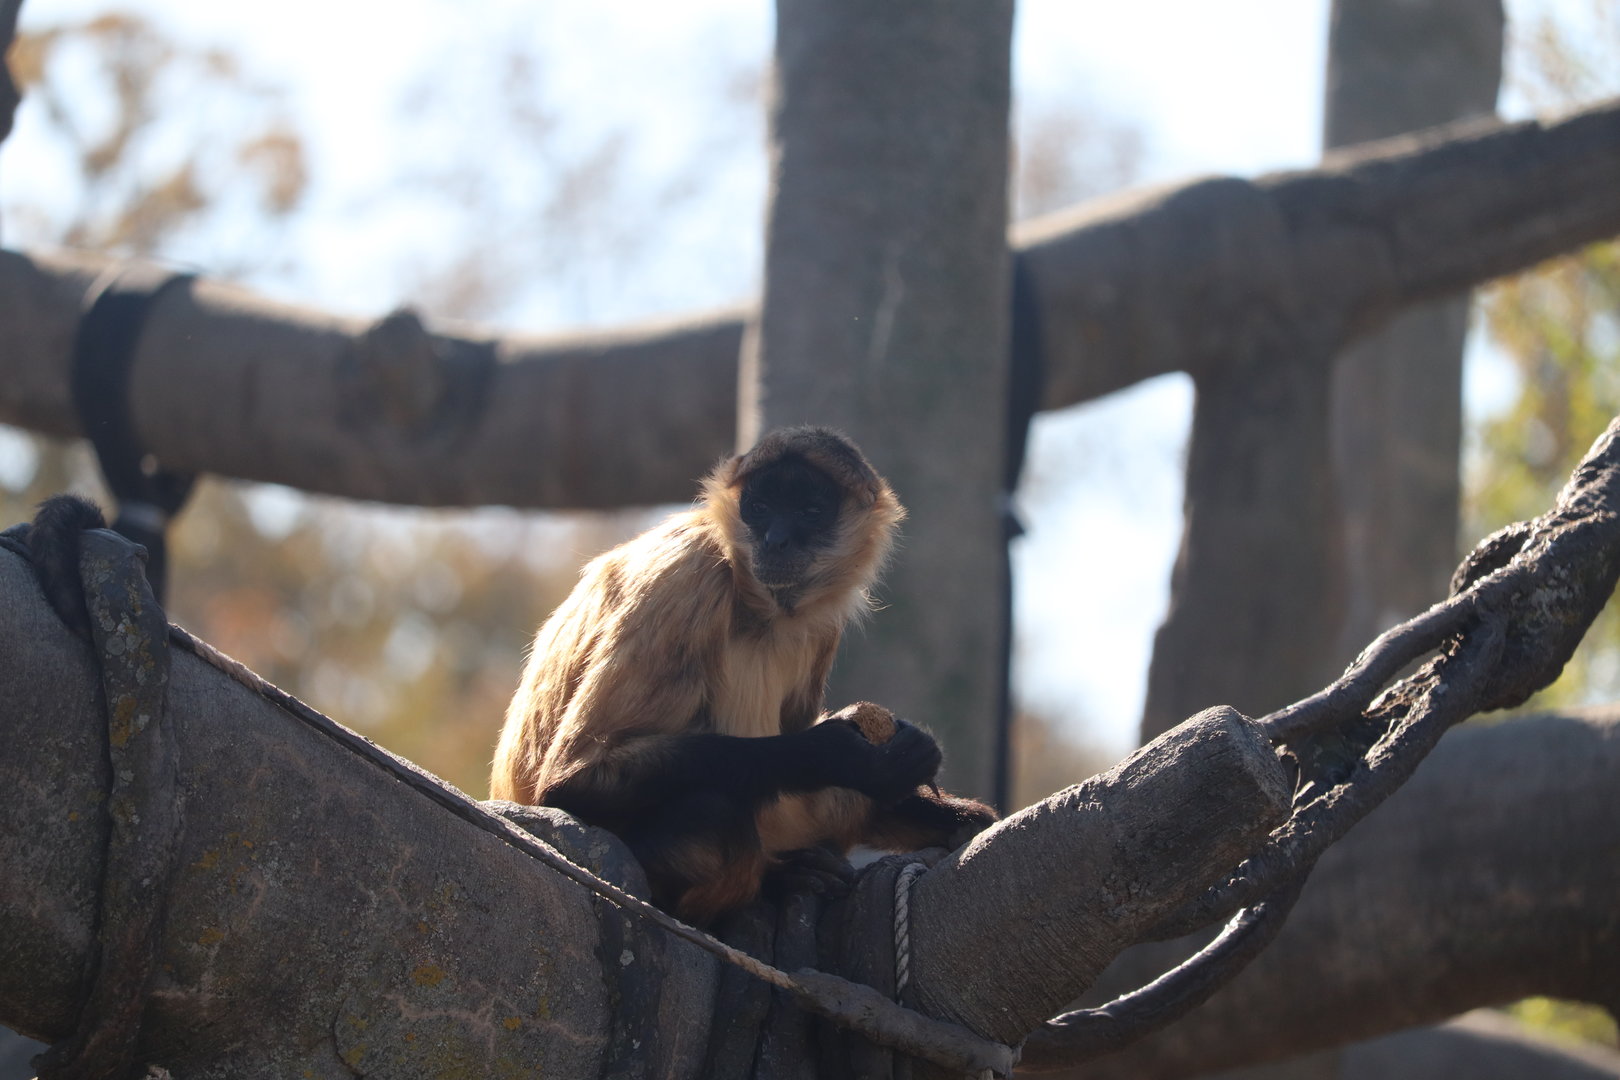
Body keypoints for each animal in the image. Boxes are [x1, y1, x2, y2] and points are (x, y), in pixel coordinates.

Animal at [491, 426, 996, 924]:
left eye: (809, 512)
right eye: (761, 507)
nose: (775, 539)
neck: (760, 607)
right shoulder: (685, 576)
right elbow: (570, 777)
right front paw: (846, 757)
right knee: (715, 812)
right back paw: (774, 878)